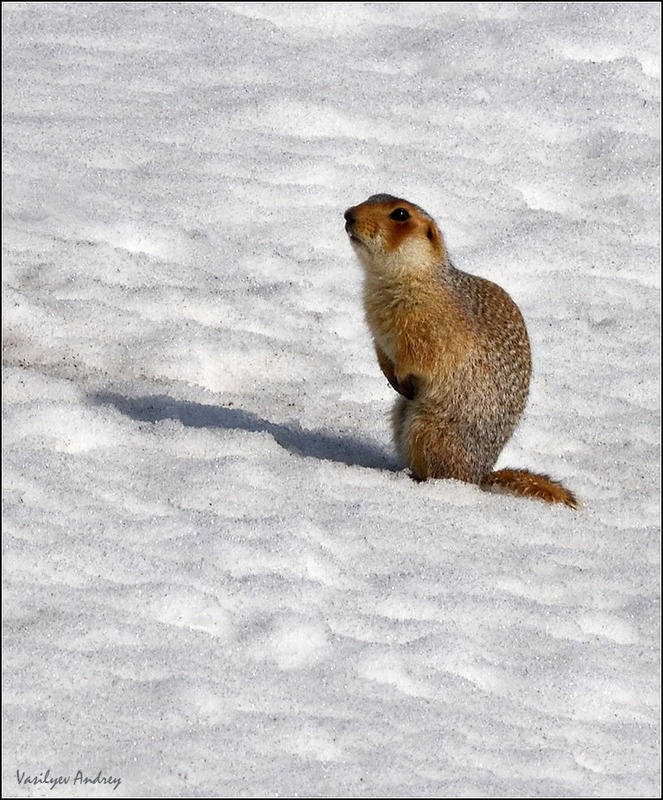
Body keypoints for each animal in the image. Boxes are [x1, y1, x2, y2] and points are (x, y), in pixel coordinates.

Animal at [344, 193, 580, 506]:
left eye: (400, 214)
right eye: (370, 197)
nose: (348, 214)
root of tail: (480, 475)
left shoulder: (431, 327)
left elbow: (420, 355)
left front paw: (403, 376)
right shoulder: (375, 321)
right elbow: (380, 349)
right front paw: (389, 374)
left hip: (429, 429)